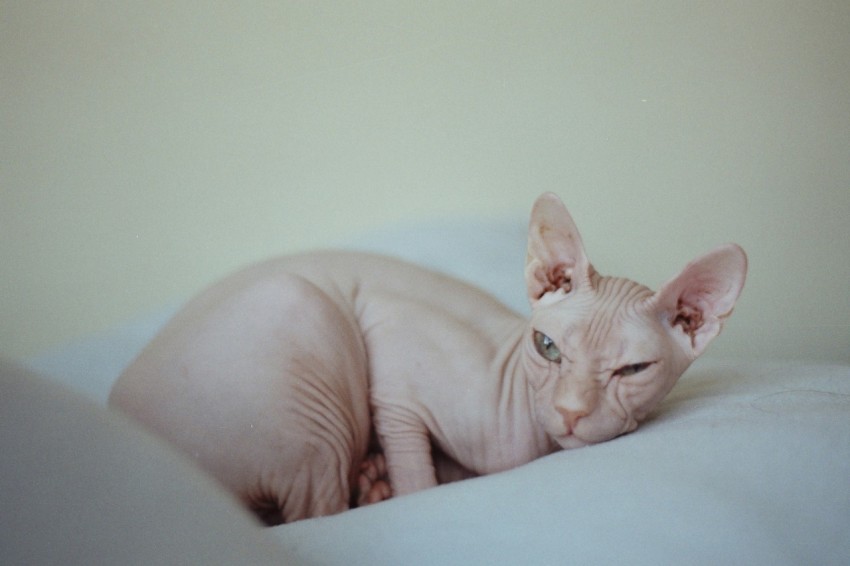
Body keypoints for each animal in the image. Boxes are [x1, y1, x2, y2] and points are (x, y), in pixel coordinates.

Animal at [109, 193, 744, 524]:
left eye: (633, 370)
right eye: (548, 347)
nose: (569, 413)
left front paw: (383, 476)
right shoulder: (389, 349)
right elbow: (419, 478)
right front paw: (404, 481)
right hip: (303, 314)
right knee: (319, 512)